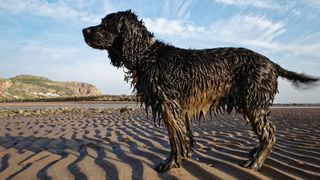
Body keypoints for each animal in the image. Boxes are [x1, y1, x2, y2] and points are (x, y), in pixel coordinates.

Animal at [82, 9, 318, 172]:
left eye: (106, 23)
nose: (83, 30)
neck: (147, 54)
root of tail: (271, 62)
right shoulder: (178, 108)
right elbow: (184, 136)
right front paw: (184, 156)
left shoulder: (169, 105)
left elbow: (174, 138)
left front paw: (170, 164)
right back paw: (255, 153)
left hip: (253, 103)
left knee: (270, 133)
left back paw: (255, 162)